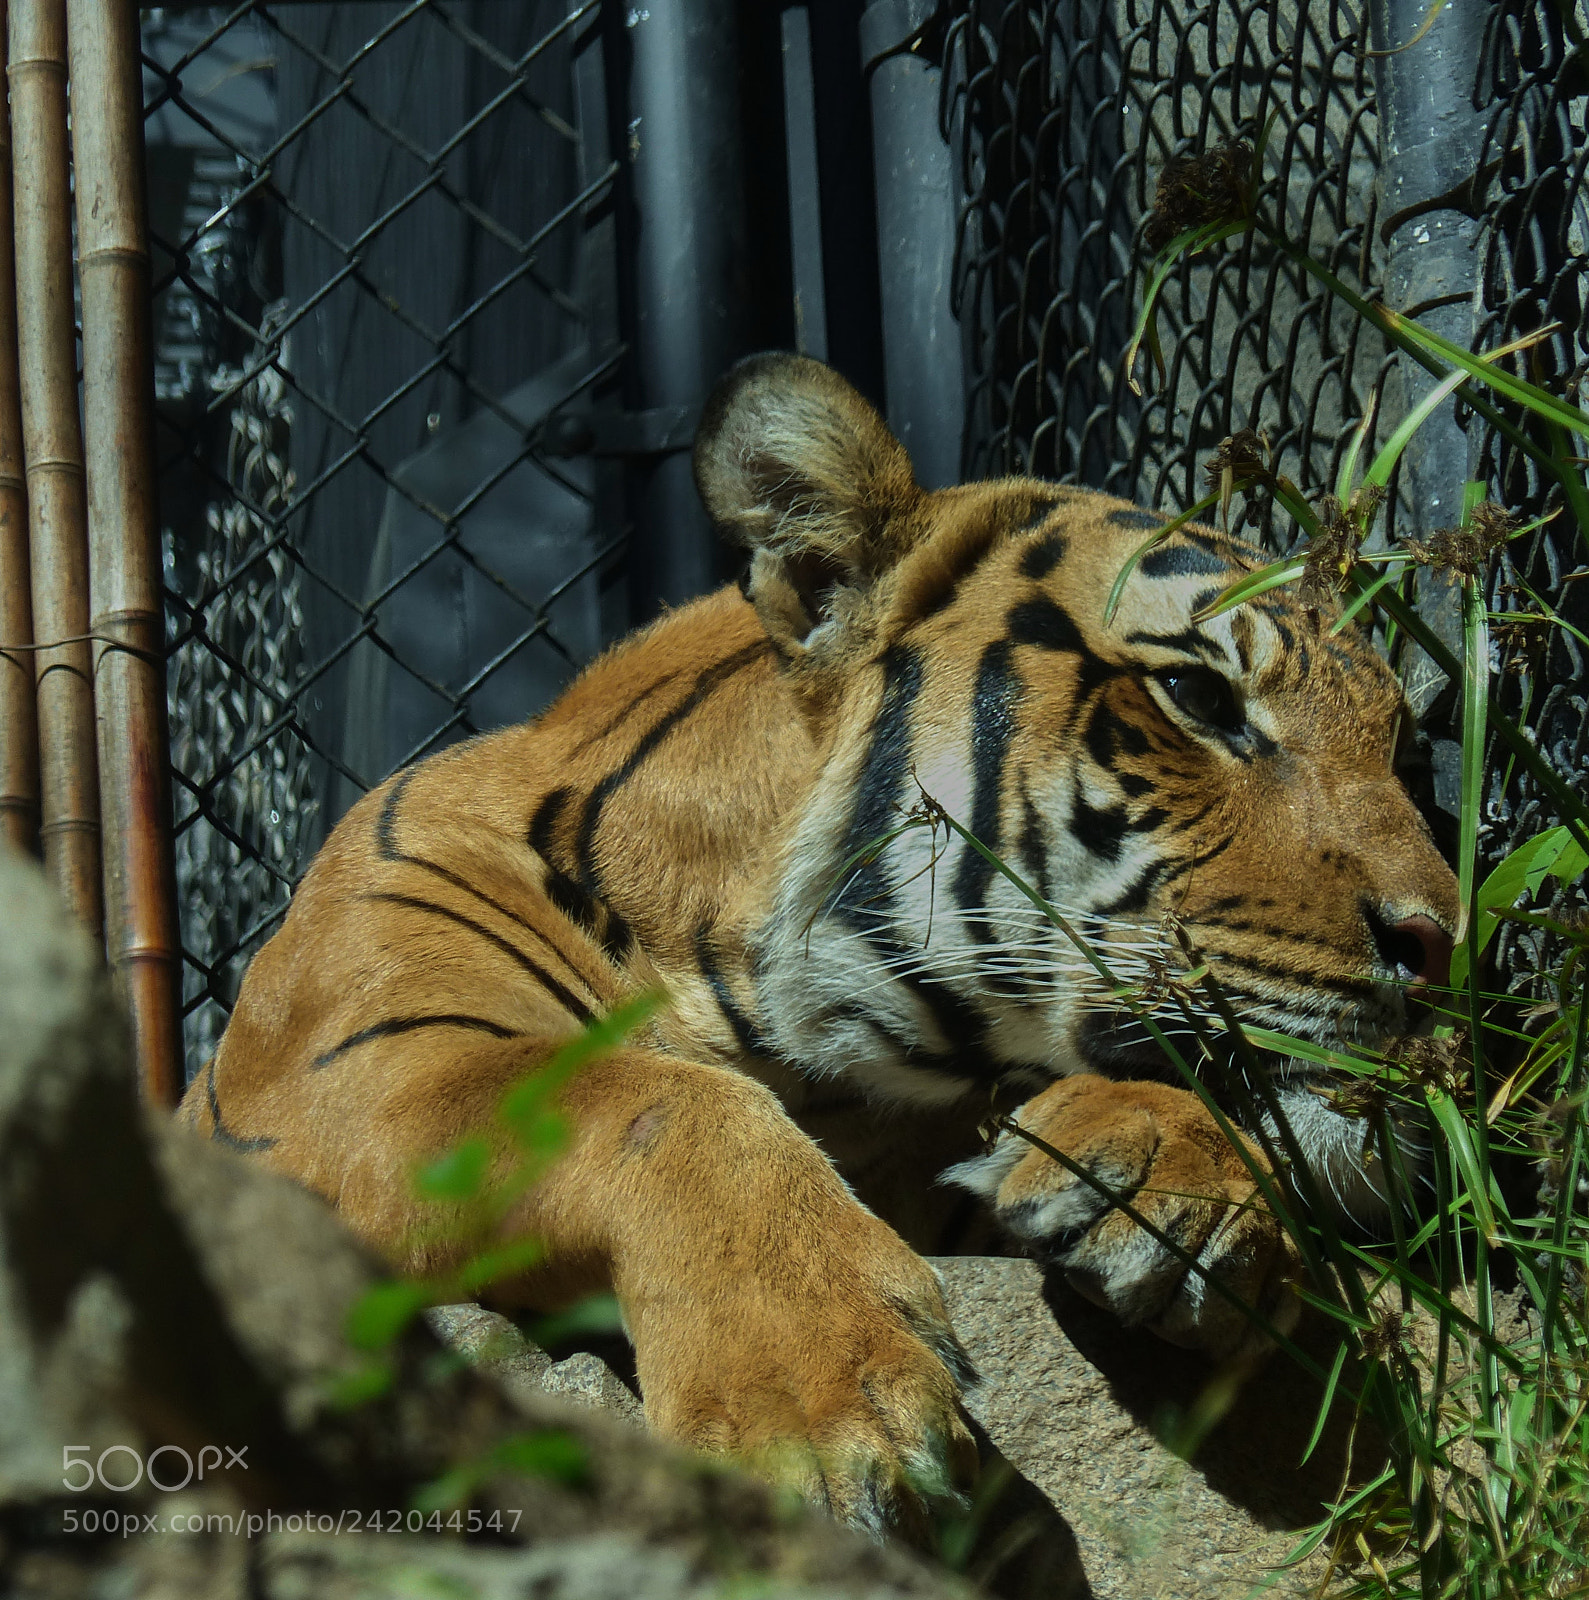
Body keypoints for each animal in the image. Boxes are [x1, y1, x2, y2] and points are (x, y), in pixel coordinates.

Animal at [179, 352, 1460, 1538]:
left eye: (1402, 751)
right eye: (1197, 699)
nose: (1440, 941)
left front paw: (1170, 1171)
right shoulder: (342, 1076)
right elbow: (644, 1099)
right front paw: (815, 1406)